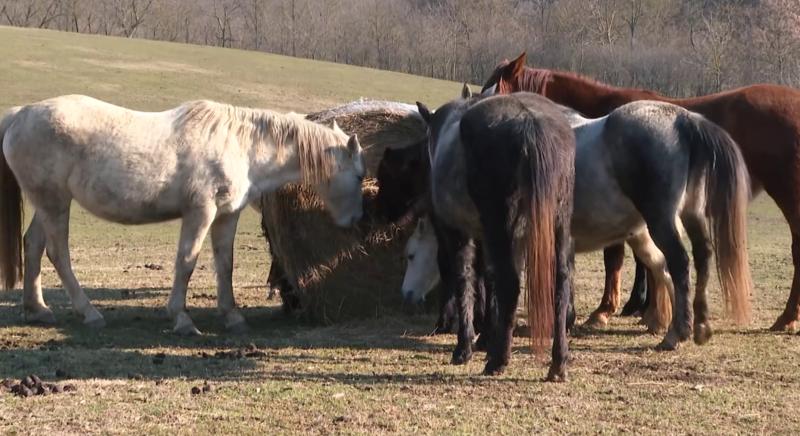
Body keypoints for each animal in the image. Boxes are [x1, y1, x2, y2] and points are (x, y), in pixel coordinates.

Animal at [0, 94, 366, 334]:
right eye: (360, 175)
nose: (357, 221)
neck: (240, 146)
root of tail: (20, 115)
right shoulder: (200, 211)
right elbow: (187, 262)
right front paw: (181, 318)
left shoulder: (227, 215)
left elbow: (225, 264)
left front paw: (231, 316)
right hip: (54, 203)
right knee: (57, 253)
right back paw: (88, 312)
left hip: (49, 203)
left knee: (33, 245)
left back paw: (37, 310)